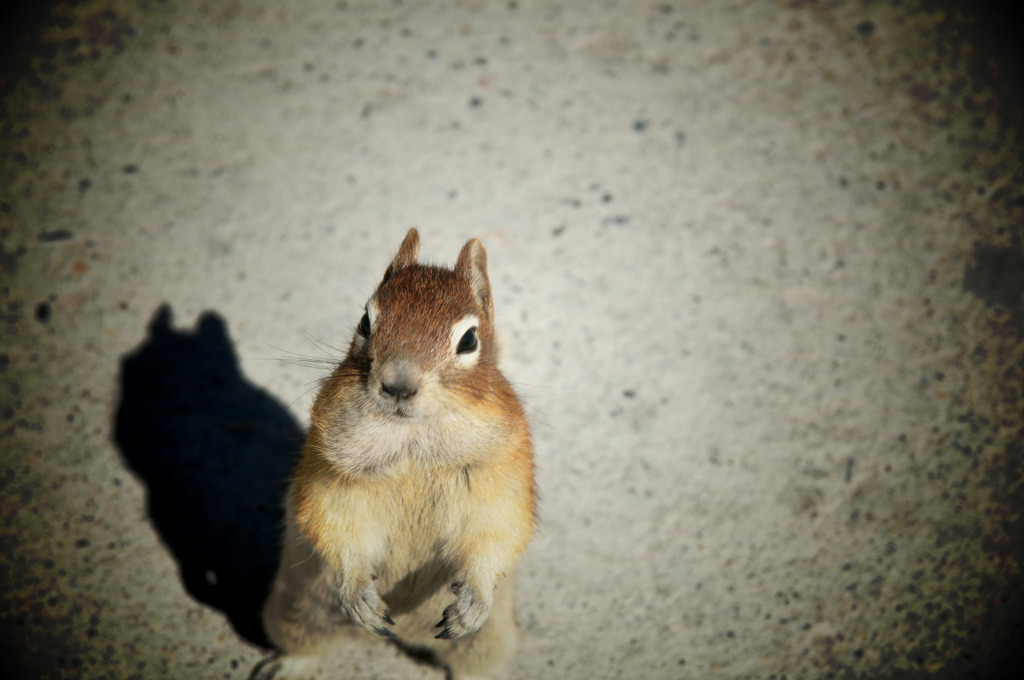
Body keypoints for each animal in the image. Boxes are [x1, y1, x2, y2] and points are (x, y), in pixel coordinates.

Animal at [257, 228, 536, 680]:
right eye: (365, 321)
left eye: (470, 339)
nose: (398, 385)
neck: (412, 440)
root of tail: (404, 634)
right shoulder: (330, 472)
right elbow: (334, 524)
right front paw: (357, 591)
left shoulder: (502, 473)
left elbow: (496, 533)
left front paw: (473, 599)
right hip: (295, 610)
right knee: (306, 643)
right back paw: (290, 665)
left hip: (488, 642)